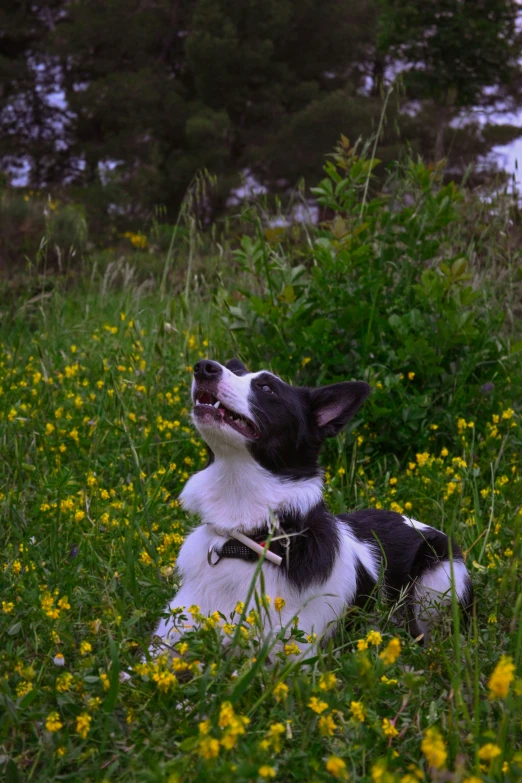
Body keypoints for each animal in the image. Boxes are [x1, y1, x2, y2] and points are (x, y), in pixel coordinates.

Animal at [149, 362, 472, 656]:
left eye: (267, 388)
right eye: (235, 370)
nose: (204, 367)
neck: (243, 538)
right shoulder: (168, 638)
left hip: (440, 577)